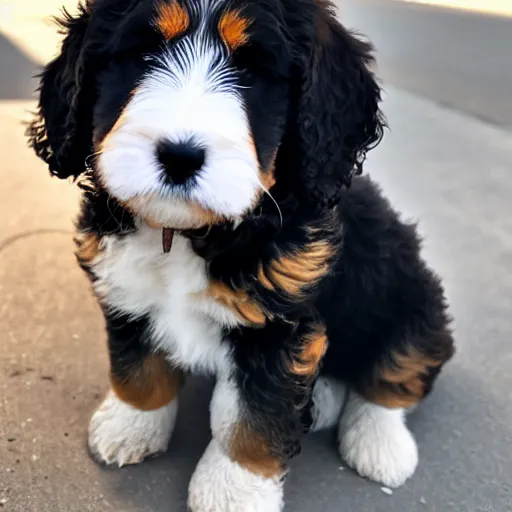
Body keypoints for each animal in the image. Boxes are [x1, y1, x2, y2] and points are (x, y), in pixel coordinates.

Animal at [28, 0, 454, 510]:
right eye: (143, 53)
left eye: (252, 70)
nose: (180, 156)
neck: (185, 233)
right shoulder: (126, 287)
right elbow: (137, 366)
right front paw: (131, 423)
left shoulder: (280, 325)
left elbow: (252, 416)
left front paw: (233, 488)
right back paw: (325, 400)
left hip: (411, 297)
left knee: (395, 375)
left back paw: (380, 444)